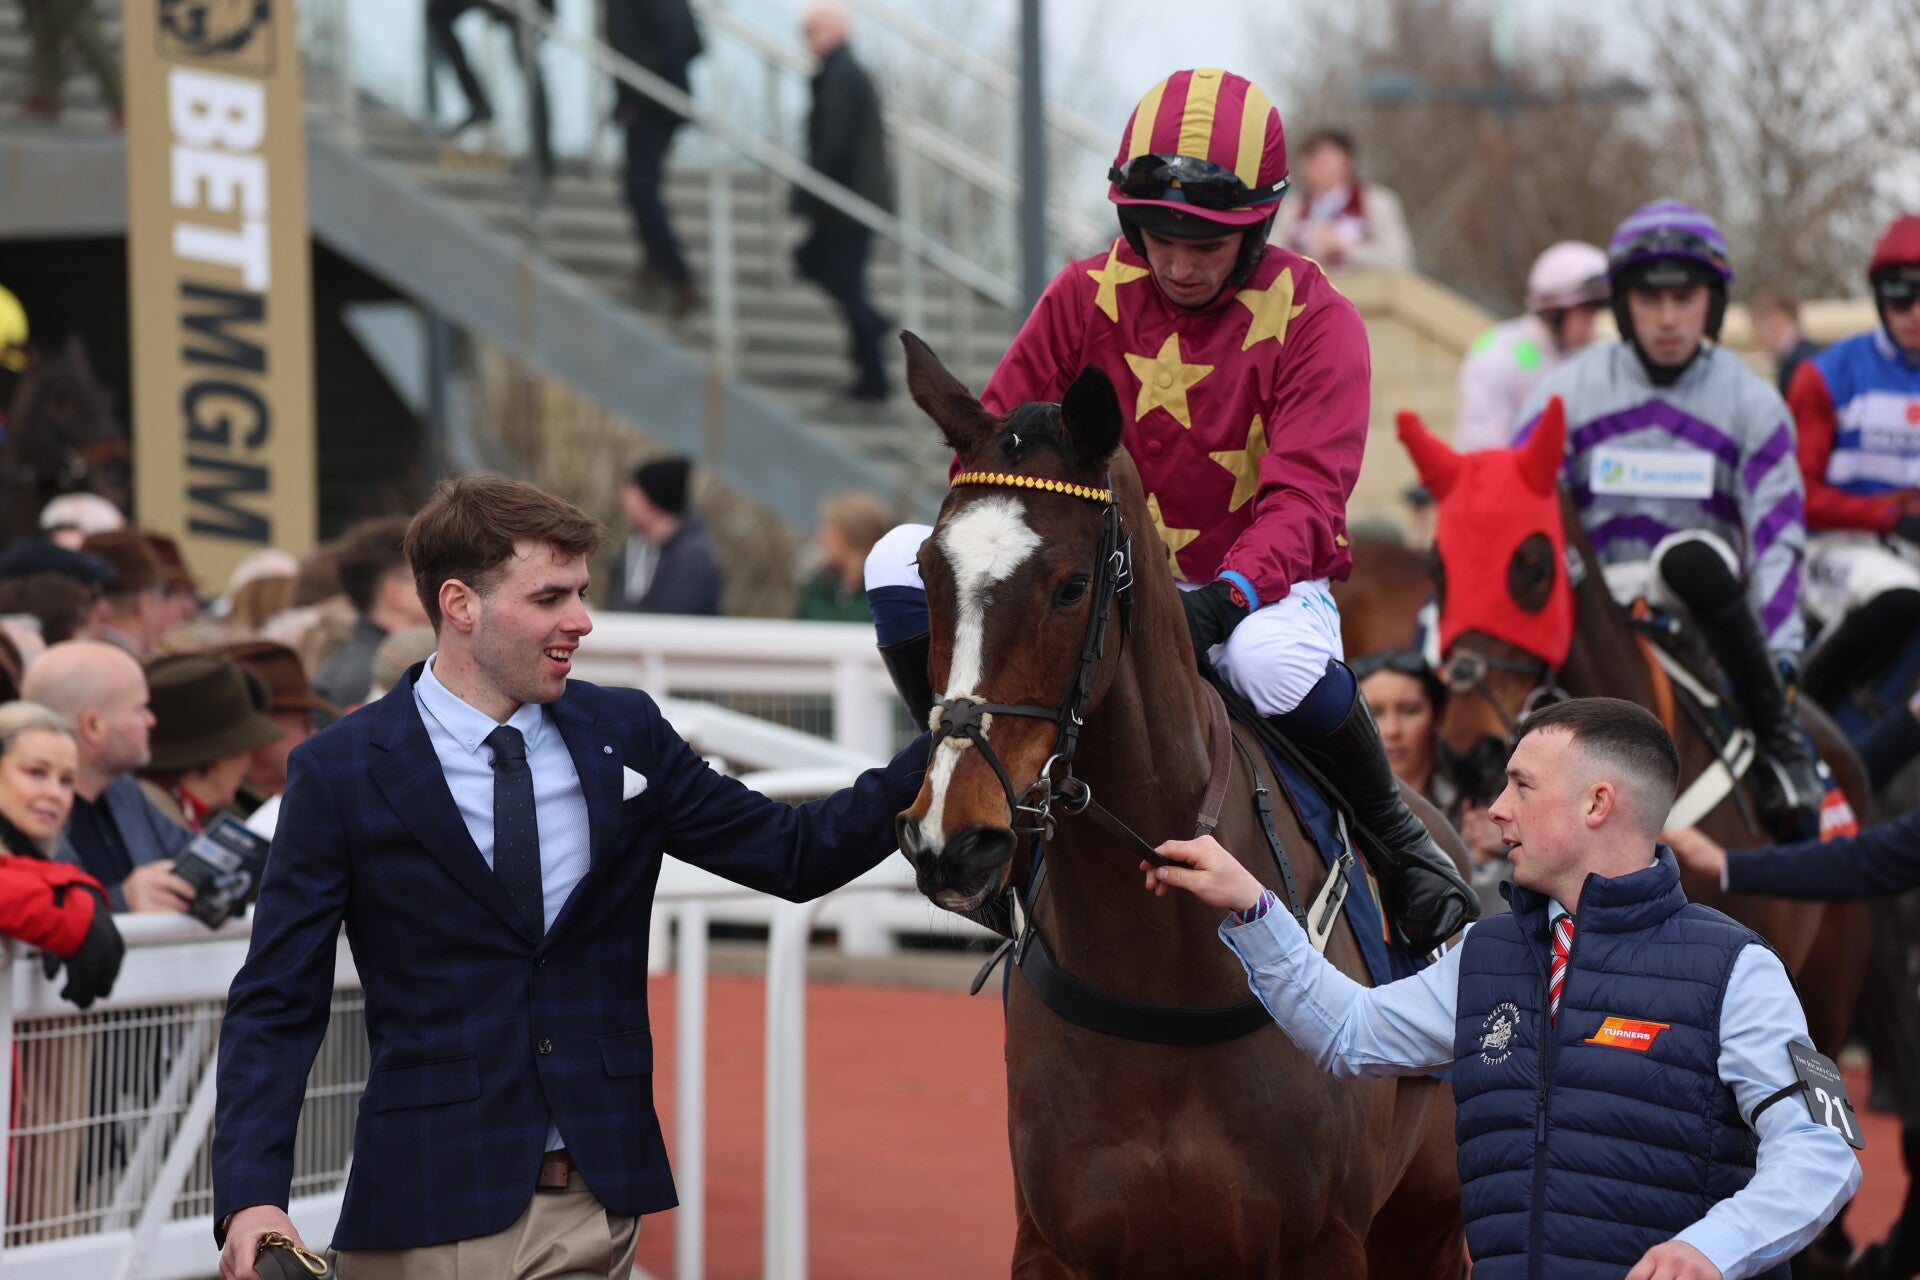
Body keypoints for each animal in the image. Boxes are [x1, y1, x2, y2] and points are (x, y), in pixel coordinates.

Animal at [890, 332, 1467, 1279]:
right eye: (928, 575)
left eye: (1071, 585)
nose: (952, 840)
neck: (1159, 961)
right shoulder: (1055, 1242)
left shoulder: (1324, 1244)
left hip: (1425, 1228)